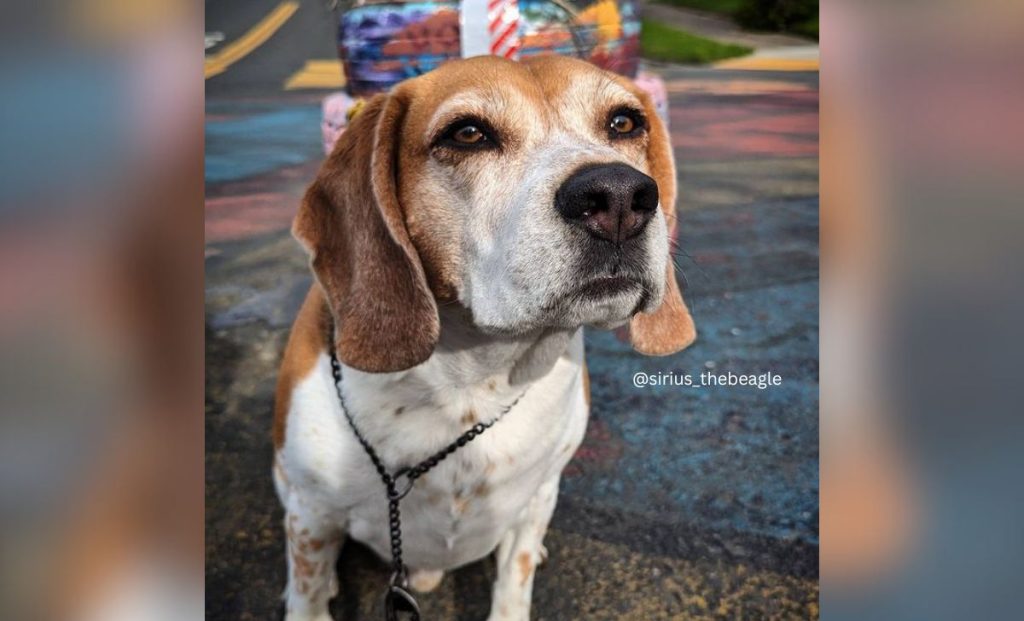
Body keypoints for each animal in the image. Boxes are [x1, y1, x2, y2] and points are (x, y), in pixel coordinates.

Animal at [272, 55, 696, 618]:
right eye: (468, 133)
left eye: (624, 122)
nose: (621, 196)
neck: (470, 383)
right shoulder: (311, 518)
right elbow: (308, 592)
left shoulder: (536, 500)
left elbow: (514, 585)